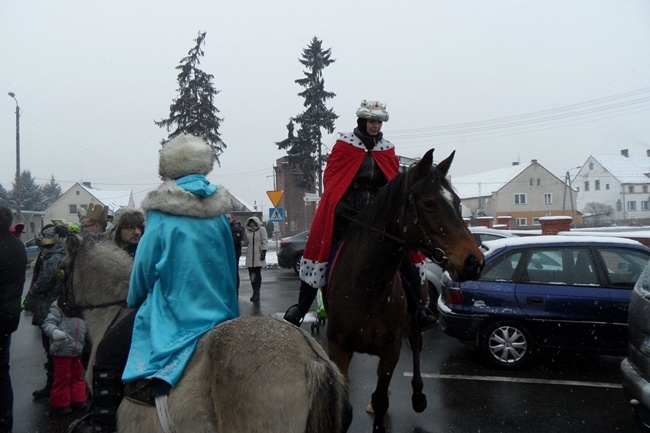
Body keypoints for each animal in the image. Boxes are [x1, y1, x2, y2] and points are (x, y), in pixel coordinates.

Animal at [324, 149, 480, 432]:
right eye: (429, 202)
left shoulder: (391, 351)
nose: (474, 261)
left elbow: (381, 399)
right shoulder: (338, 348)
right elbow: (345, 410)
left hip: (416, 319)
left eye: (457, 201)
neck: (369, 287)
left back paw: (418, 396)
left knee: (417, 346)